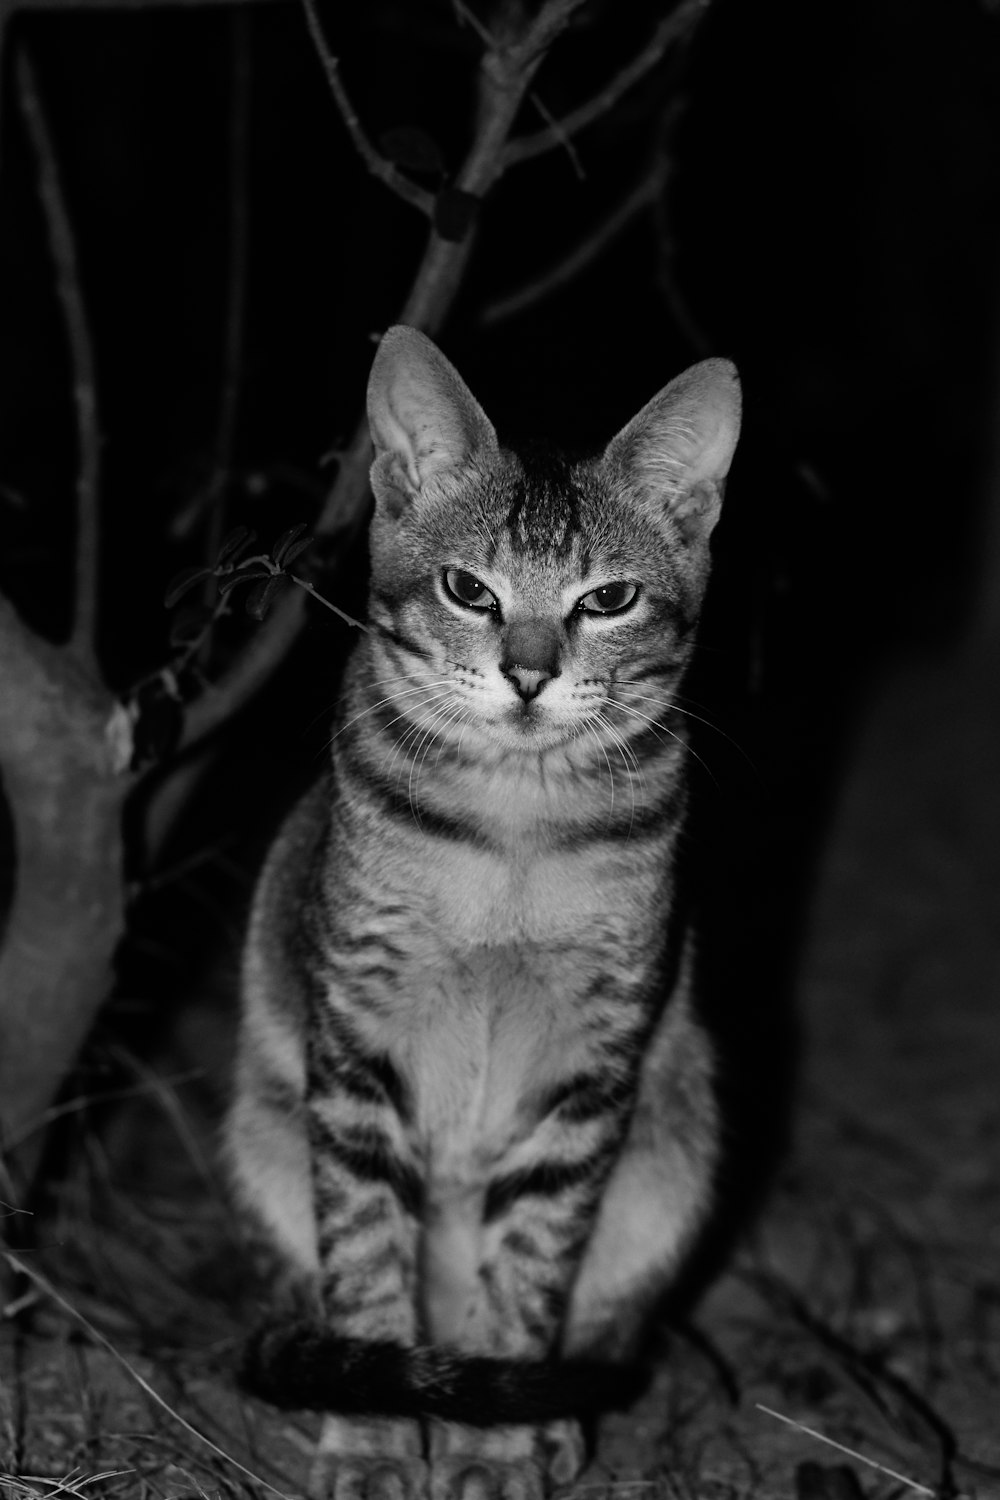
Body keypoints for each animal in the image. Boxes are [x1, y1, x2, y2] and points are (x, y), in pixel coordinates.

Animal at [224, 331, 743, 1500]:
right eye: (469, 589)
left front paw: (495, 1445)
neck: (513, 828)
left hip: (671, 1159)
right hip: (265, 1138)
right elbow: (365, 1253)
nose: (528, 674)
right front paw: (372, 1439)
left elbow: (529, 1278)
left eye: (608, 599)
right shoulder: (357, 1033)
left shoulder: (592, 1064)